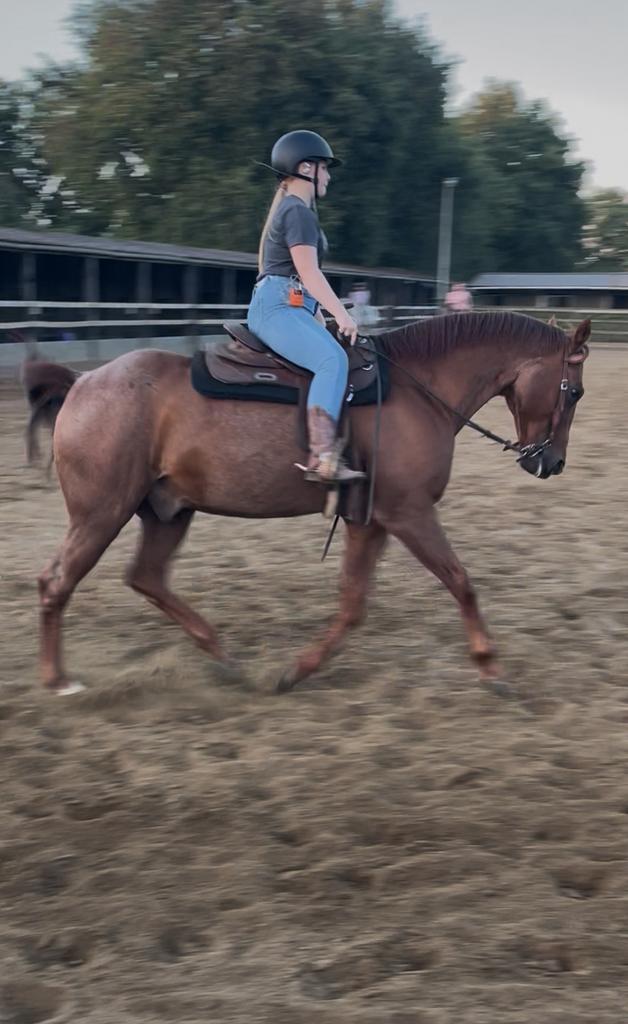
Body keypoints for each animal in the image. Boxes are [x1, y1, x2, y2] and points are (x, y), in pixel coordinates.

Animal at [25, 311, 590, 696]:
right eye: (575, 392)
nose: (553, 462)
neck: (417, 389)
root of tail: (82, 383)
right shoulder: (408, 513)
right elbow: (461, 582)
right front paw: (490, 665)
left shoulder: (370, 520)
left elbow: (353, 604)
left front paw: (296, 671)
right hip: (102, 512)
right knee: (56, 581)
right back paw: (57, 680)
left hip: (168, 510)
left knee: (146, 577)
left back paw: (223, 657)